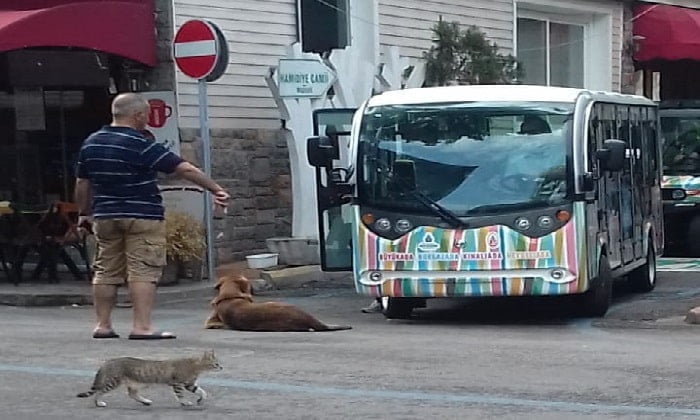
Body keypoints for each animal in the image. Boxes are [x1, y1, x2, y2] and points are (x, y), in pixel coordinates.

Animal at [76, 352, 221, 406]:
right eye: (216, 364)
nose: (222, 367)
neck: (195, 365)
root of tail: (108, 361)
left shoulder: (189, 384)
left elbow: (201, 391)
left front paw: (201, 398)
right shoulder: (178, 384)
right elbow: (180, 395)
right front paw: (185, 402)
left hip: (136, 383)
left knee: (132, 394)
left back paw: (145, 401)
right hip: (113, 382)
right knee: (99, 392)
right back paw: (98, 402)